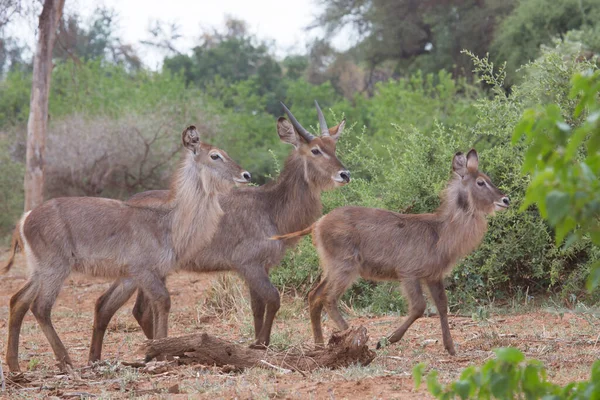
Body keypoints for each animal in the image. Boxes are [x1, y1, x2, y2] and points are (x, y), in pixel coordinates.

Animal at [2, 126, 251, 372]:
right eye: (215, 155)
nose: (246, 175)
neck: (168, 223)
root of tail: (25, 218)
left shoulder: (134, 276)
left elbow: (136, 307)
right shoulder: (143, 271)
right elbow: (163, 302)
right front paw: (163, 356)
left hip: (40, 270)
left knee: (18, 301)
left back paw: (15, 366)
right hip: (55, 268)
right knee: (40, 307)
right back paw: (66, 362)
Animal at [87, 102, 352, 360]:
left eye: (334, 146)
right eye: (315, 150)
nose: (345, 174)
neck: (271, 207)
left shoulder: (260, 266)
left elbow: (258, 307)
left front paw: (257, 343)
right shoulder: (249, 264)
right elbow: (273, 299)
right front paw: (261, 344)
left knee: (118, 306)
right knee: (131, 308)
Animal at [274, 149, 508, 354]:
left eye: (488, 178)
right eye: (480, 182)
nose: (506, 199)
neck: (440, 231)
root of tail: (318, 223)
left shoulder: (434, 276)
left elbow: (442, 306)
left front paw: (450, 348)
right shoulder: (409, 273)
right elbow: (419, 307)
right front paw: (386, 340)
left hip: (332, 267)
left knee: (314, 295)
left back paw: (320, 345)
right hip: (345, 267)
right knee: (328, 298)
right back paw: (353, 335)